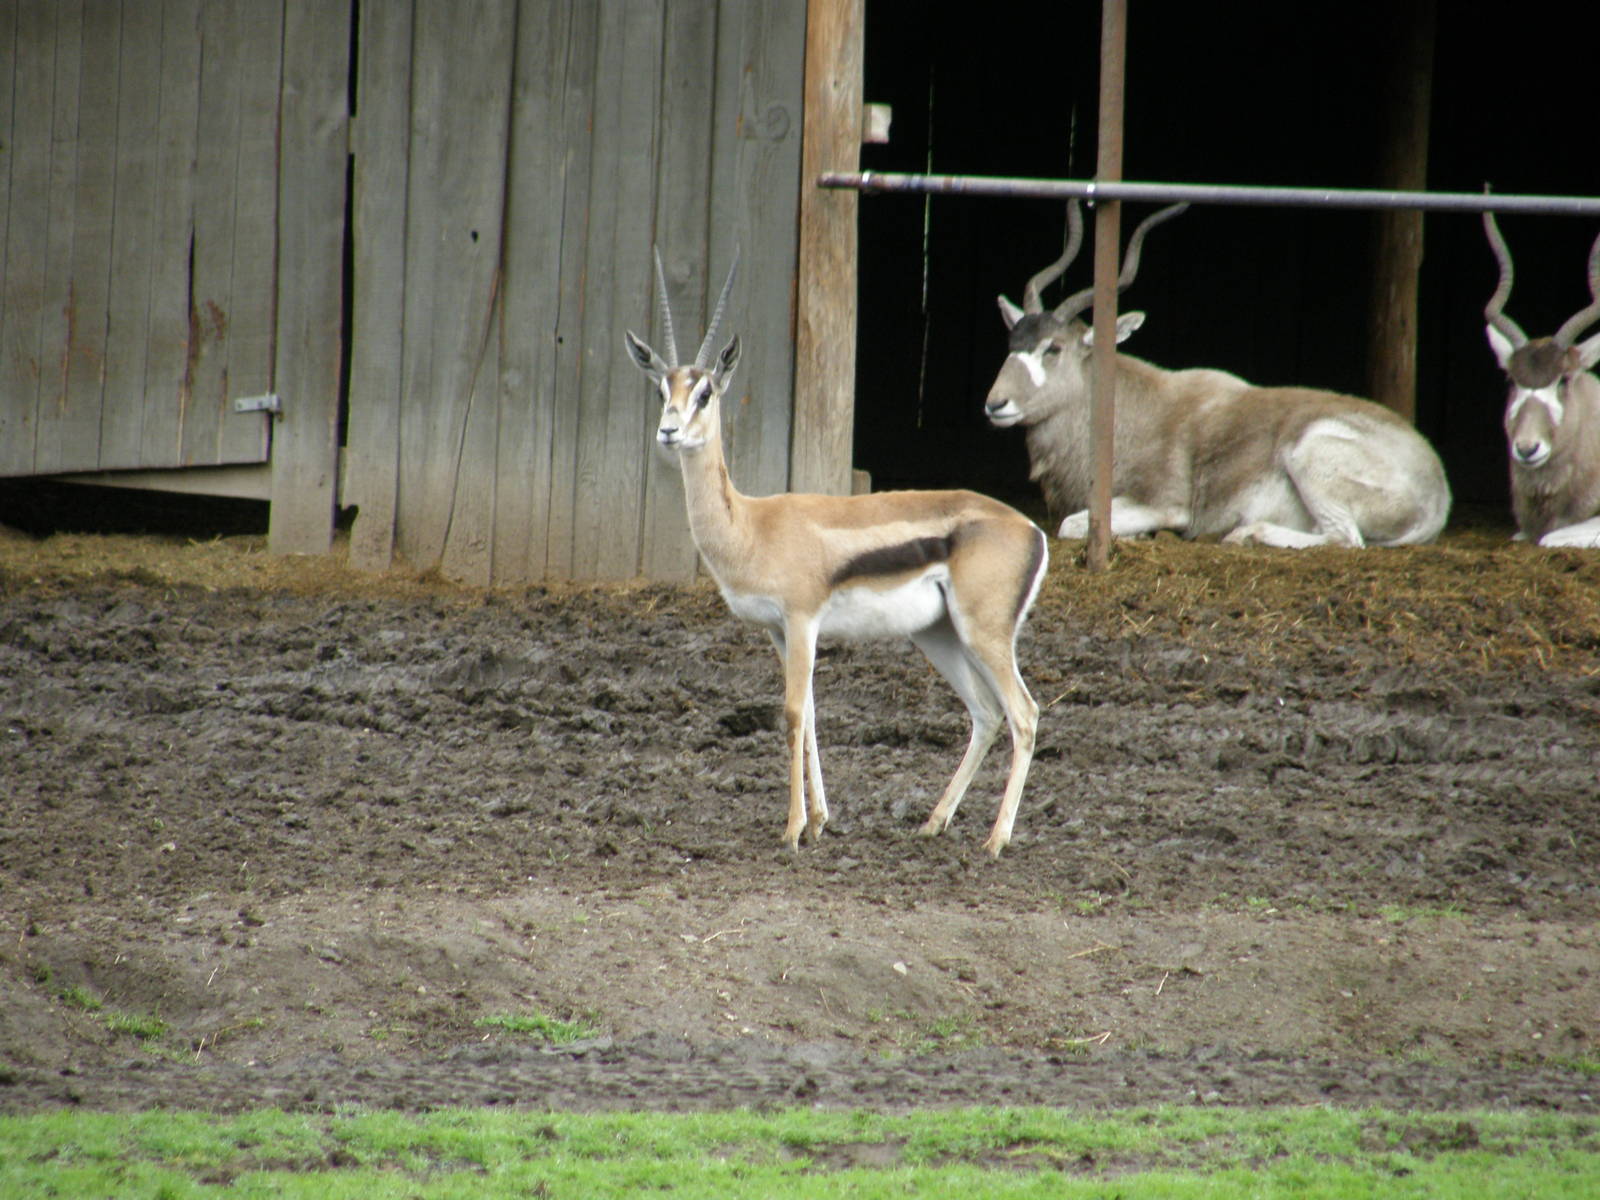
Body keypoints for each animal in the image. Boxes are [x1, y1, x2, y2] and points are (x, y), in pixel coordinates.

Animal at [625, 249, 1048, 857]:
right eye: (664, 390)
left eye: (705, 392)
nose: (669, 431)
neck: (752, 525)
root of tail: (1030, 527)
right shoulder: (778, 631)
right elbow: (811, 712)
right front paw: (821, 820)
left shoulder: (803, 620)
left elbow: (792, 713)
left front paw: (793, 829)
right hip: (939, 634)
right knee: (987, 715)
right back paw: (932, 823)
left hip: (984, 635)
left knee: (1025, 714)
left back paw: (995, 841)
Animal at [986, 202, 1452, 548]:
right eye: (1011, 344)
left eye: (1053, 348)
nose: (995, 404)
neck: (1128, 406)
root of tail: (1439, 492)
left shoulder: (1164, 503)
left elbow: (1072, 525)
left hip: (1310, 452)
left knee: (1344, 538)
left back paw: (1247, 534)